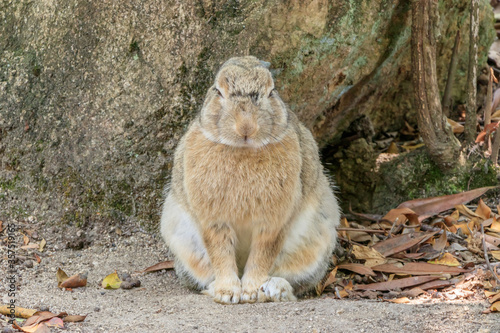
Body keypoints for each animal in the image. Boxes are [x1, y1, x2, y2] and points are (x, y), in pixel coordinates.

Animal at [160, 56, 340, 304]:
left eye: (271, 92)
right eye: (218, 91)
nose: (246, 127)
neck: (243, 150)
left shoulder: (273, 222)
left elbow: (263, 254)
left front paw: (252, 291)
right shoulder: (214, 221)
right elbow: (221, 253)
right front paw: (227, 293)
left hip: (315, 243)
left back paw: (274, 289)